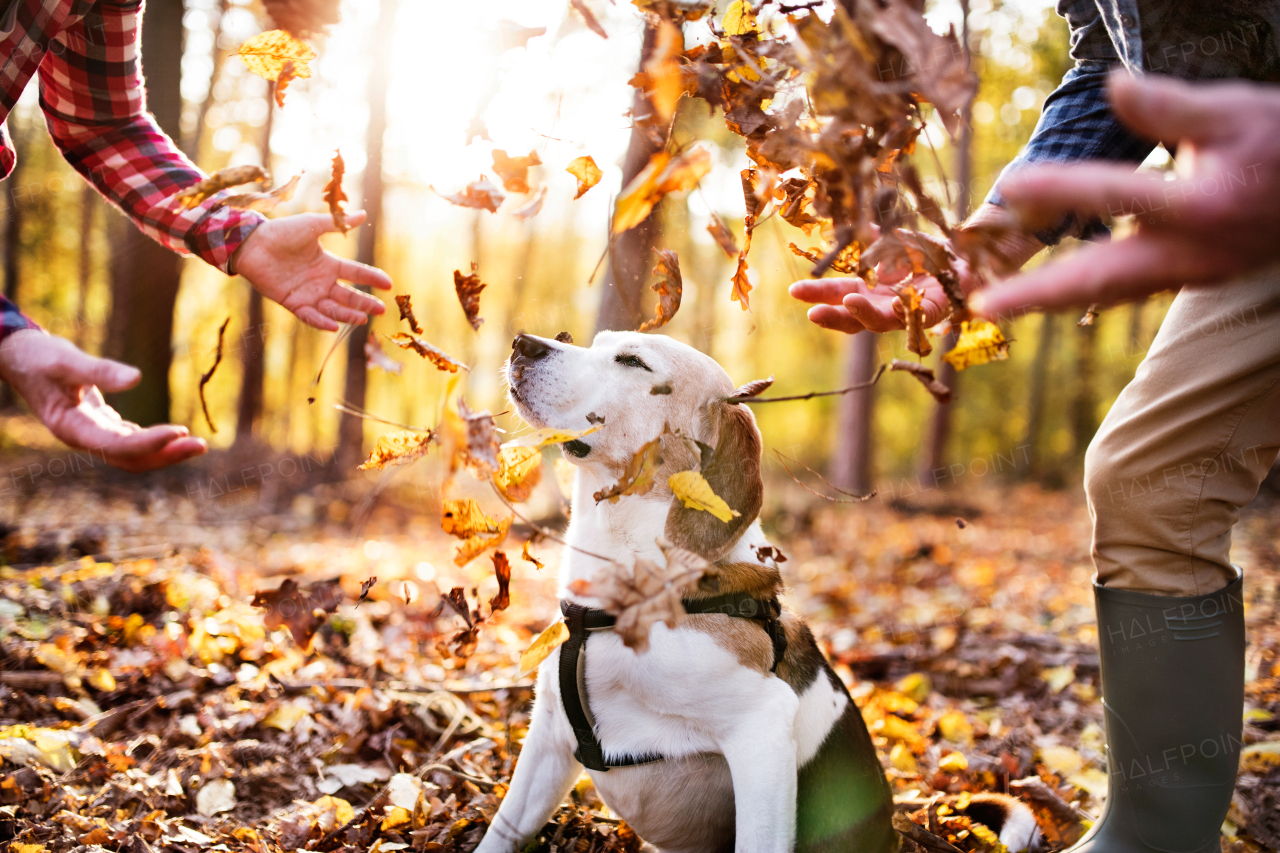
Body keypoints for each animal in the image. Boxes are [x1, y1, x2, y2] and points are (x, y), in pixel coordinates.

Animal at [476, 333, 1034, 850]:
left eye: (633, 361)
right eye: (598, 343)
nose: (523, 343)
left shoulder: (759, 734)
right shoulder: (549, 736)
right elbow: (501, 832)